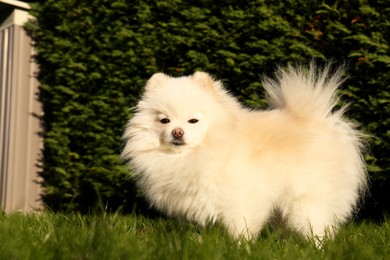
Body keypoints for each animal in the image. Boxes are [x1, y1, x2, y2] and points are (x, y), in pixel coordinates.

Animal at [121, 64, 366, 243]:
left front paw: (240, 249)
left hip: (307, 202)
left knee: (318, 228)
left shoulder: (239, 201)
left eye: (193, 121)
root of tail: (318, 121)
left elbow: (241, 231)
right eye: (164, 120)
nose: (177, 132)